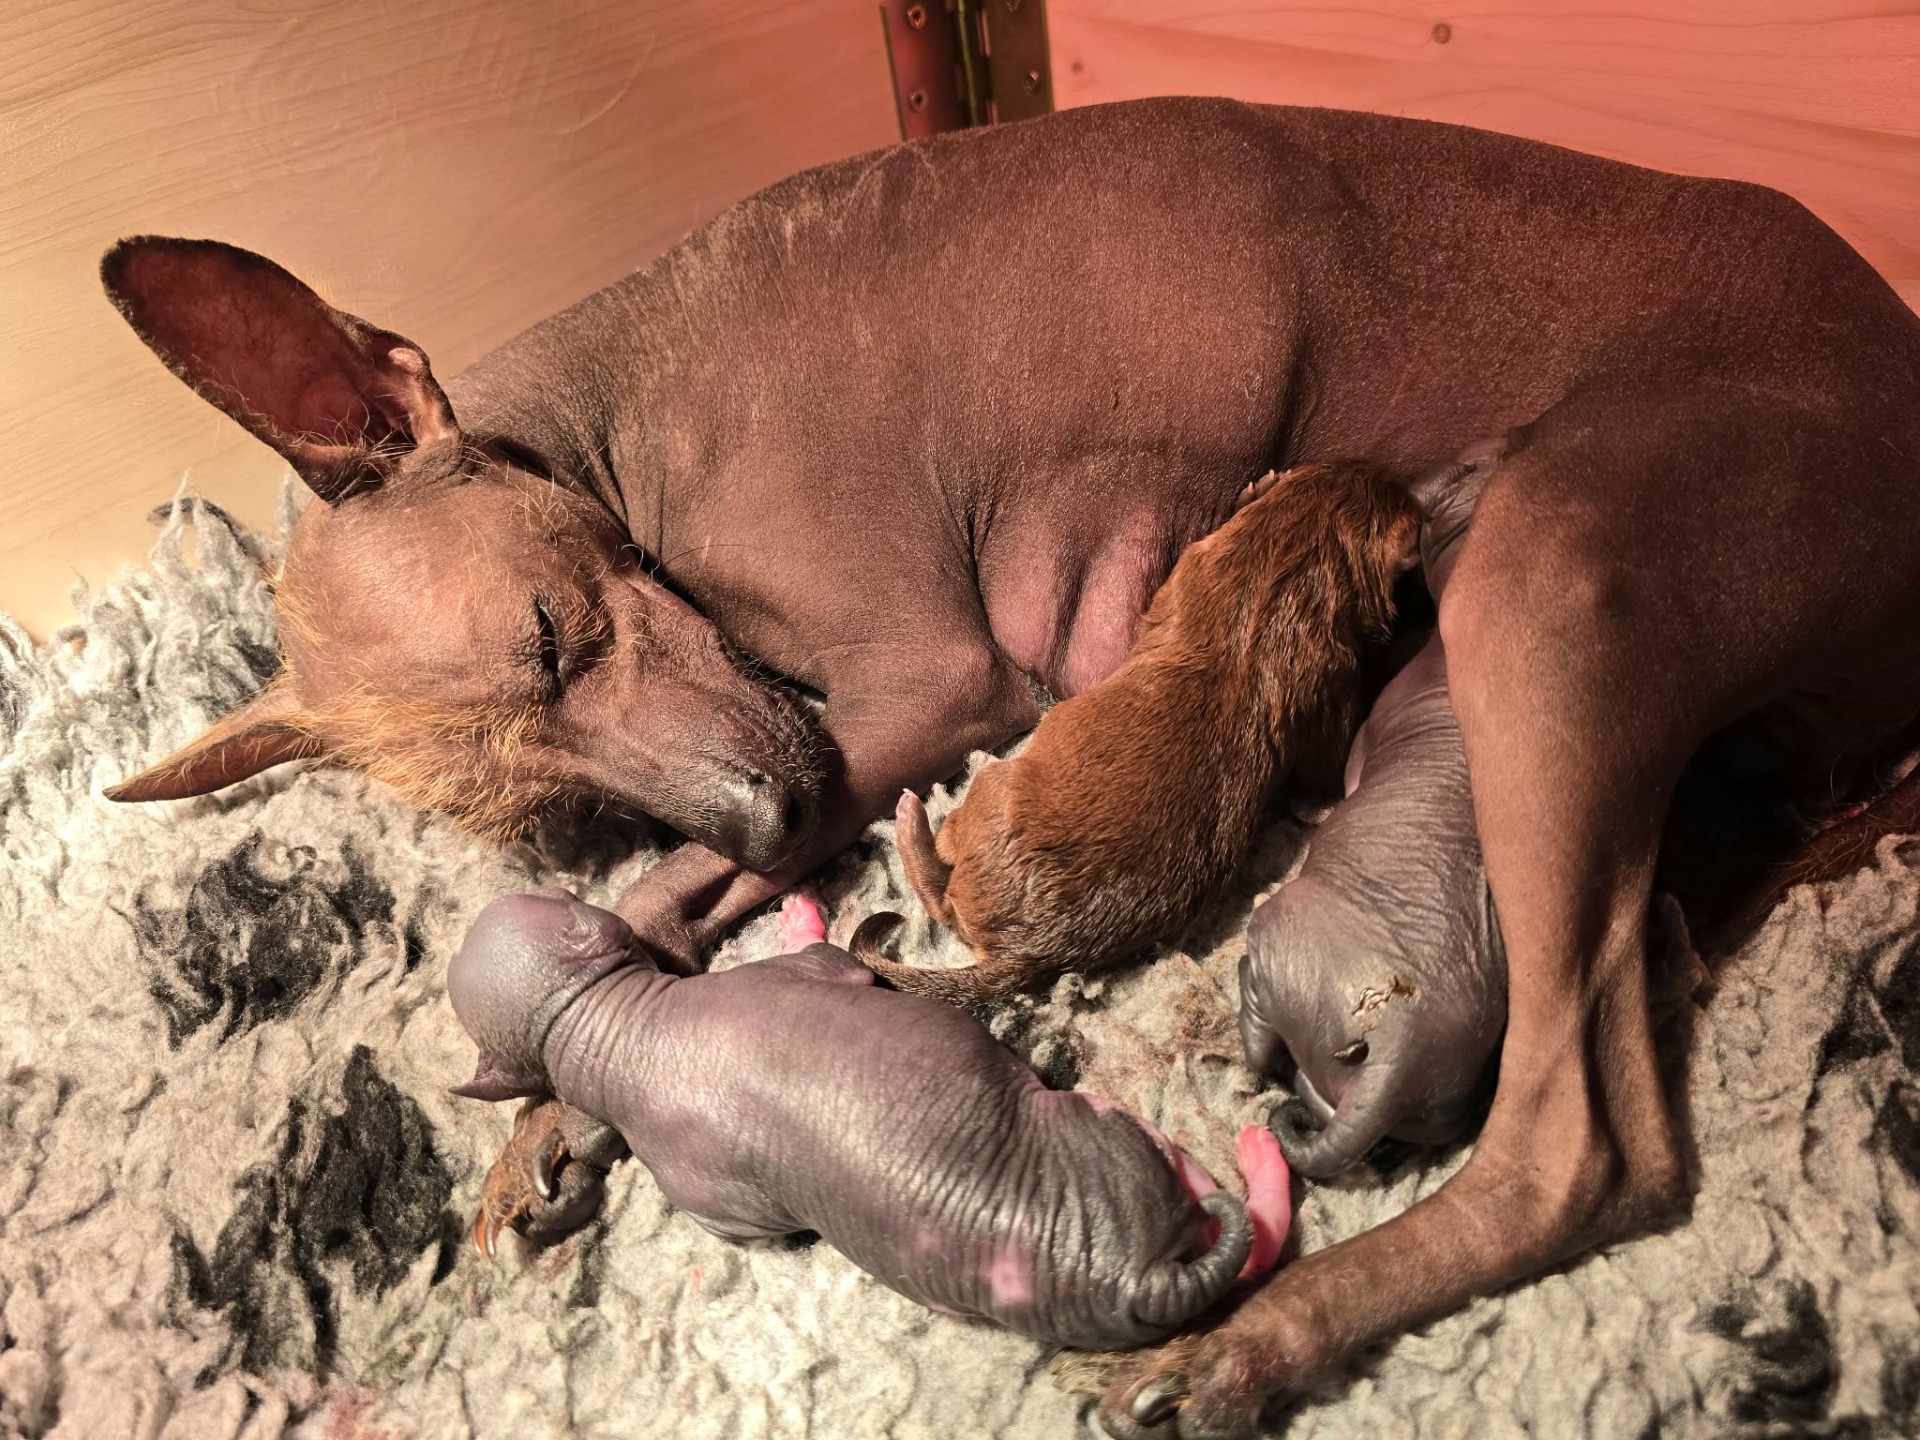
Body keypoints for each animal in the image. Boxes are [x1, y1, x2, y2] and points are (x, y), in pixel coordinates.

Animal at [448, 891, 1291, 1350]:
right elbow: (833, 962)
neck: (609, 1029)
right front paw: (800, 912)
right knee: (1240, 1226)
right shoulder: (789, 979)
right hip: (1114, 1143)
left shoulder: (705, 1200)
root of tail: (1134, 1276)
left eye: (555, 895)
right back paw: (1254, 1154)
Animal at [882, 461, 1419, 1004]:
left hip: (988, 794)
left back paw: (910, 817)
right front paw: (1260, 487)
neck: (1299, 556)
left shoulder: (1193, 568)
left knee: (941, 893)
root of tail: (1029, 953)